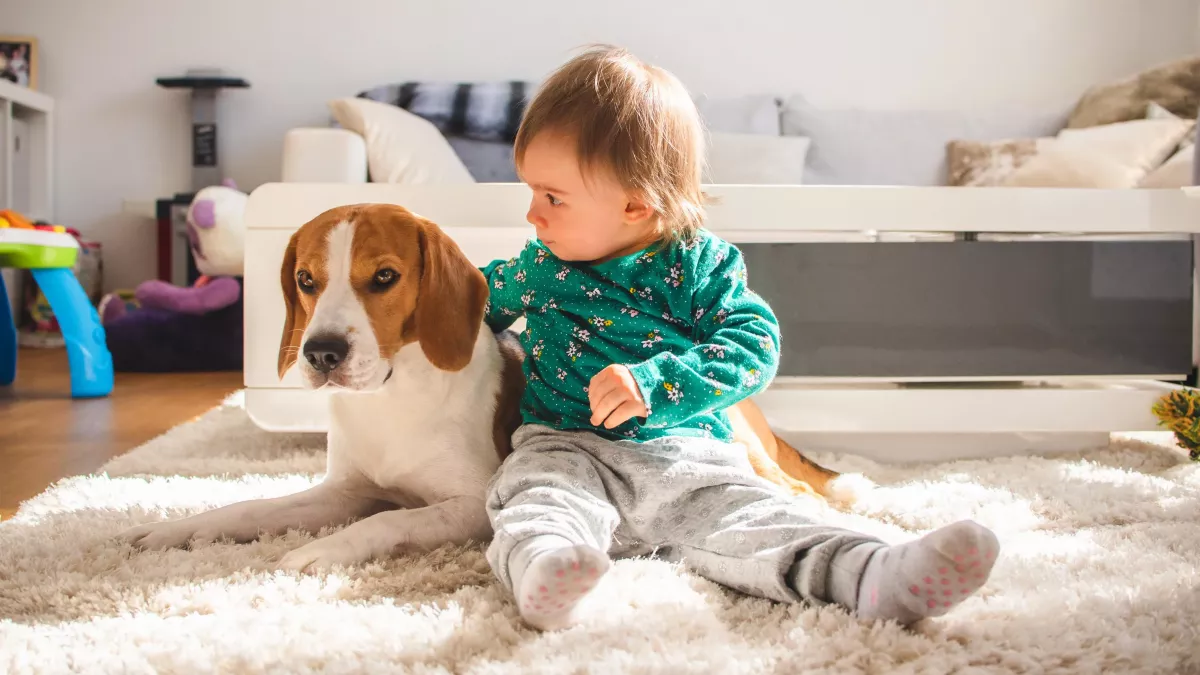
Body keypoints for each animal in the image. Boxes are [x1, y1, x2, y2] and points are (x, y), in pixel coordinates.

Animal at [114, 204, 844, 566]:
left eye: (384, 276)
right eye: (305, 280)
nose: (321, 352)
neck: (392, 398)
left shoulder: (468, 503)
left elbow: (392, 520)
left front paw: (318, 551)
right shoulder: (342, 490)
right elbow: (252, 508)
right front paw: (182, 531)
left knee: (801, 487)